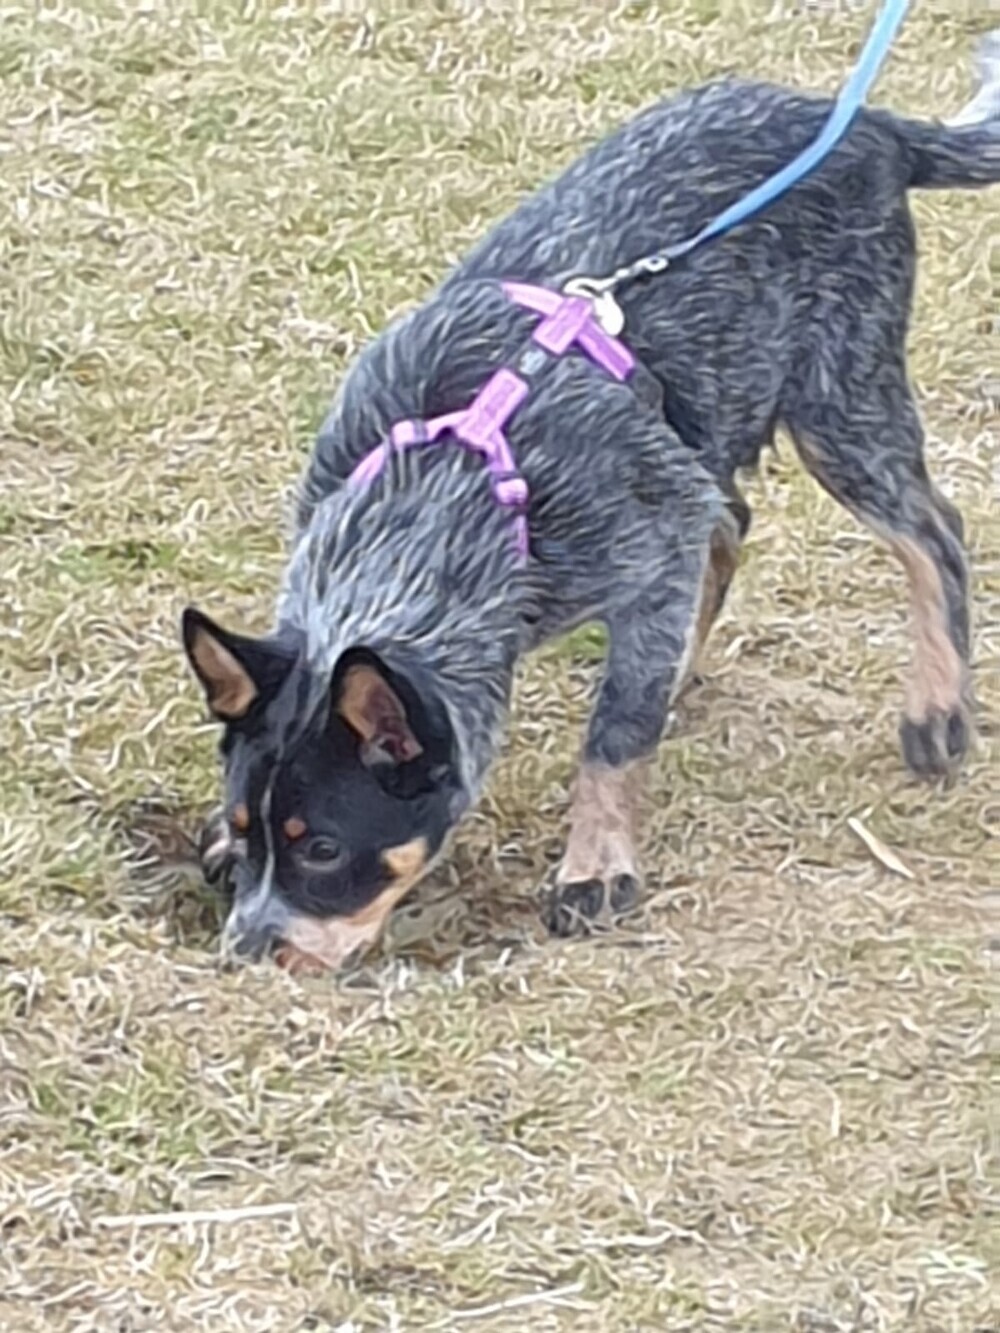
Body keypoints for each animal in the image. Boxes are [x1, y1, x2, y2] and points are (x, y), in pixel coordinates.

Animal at [182, 33, 1000, 972]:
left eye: (322, 847)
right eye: (250, 831)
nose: (245, 954)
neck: (455, 485)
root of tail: (867, 124)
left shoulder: (650, 546)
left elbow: (614, 737)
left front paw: (596, 865)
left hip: (841, 402)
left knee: (934, 532)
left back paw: (936, 710)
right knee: (733, 522)